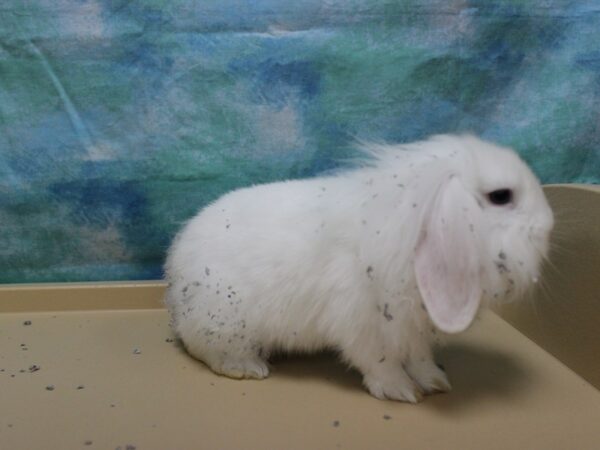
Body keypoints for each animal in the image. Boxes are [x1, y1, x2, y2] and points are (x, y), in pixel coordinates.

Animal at [163, 134, 552, 400]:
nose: (548, 224)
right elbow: (379, 362)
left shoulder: (413, 329)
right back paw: (249, 369)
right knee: (208, 351)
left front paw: (435, 382)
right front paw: (401, 392)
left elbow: (420, 358)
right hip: (225, 323)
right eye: (501, 196)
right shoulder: (363, 325)